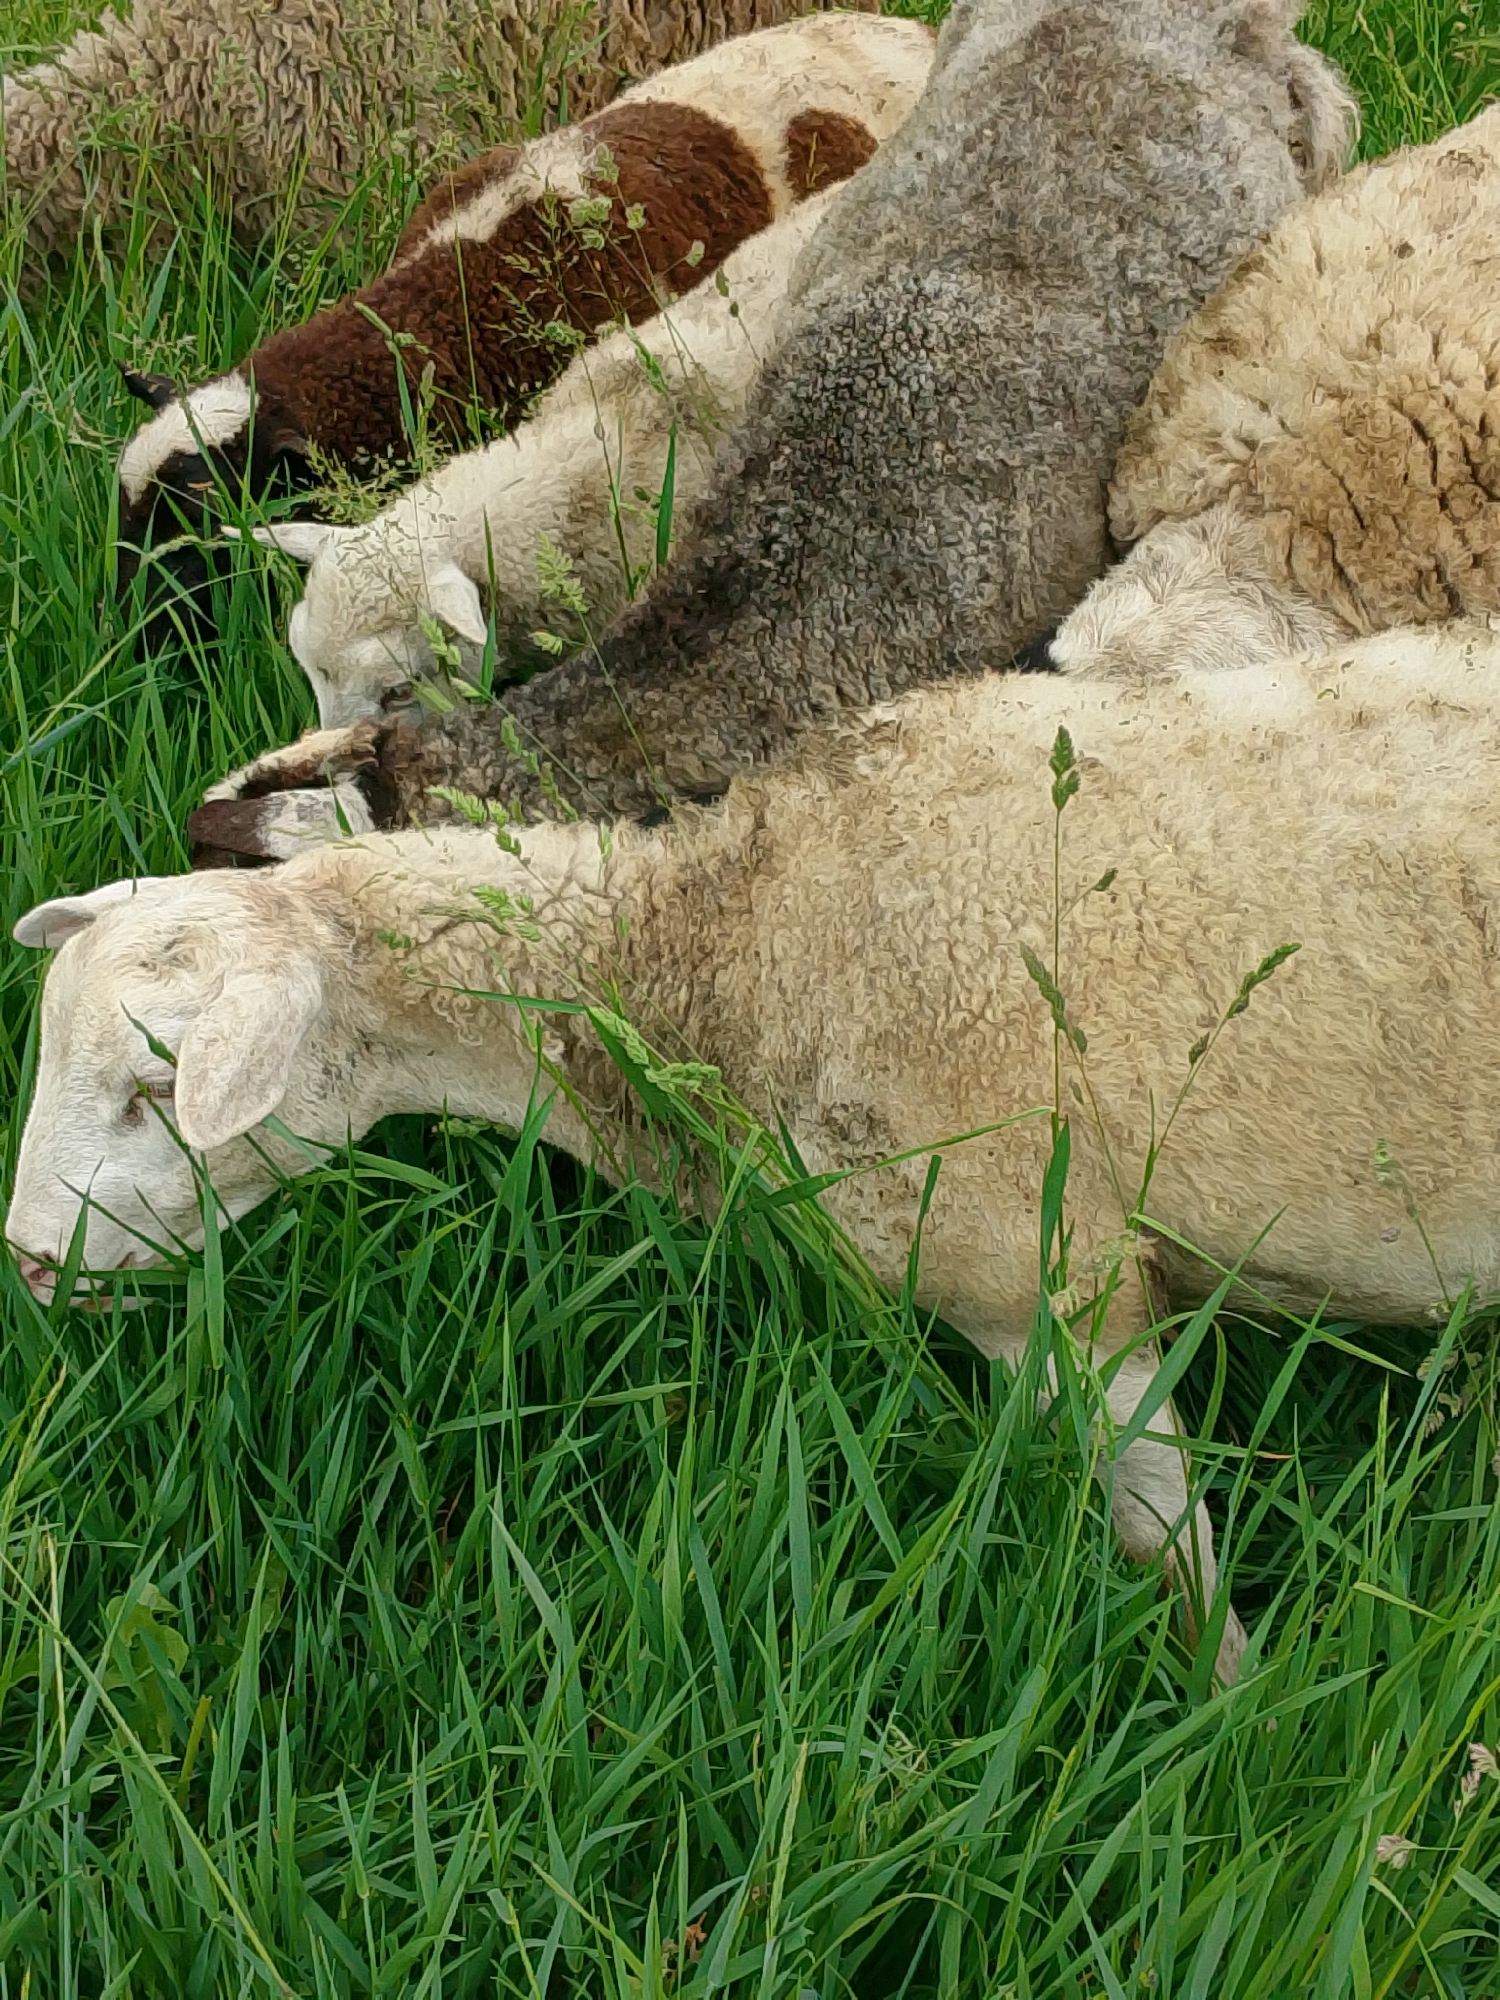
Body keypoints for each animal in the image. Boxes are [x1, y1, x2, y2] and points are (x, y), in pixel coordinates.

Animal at [25, 621, 1500, 1686]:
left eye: (155, 1089)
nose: (29, 1264)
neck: (723, 948)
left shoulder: (1047, 1284)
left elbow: (1161, 1534)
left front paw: (1232, 1698)